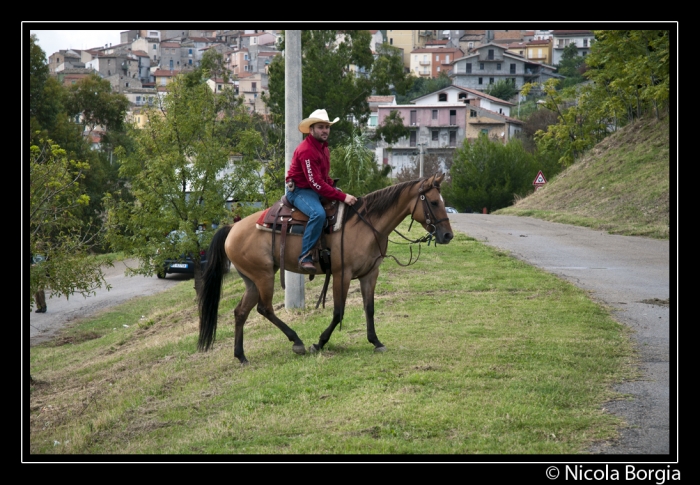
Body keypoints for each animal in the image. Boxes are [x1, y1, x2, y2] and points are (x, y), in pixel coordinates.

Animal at [197, 172, 456, 362]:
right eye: (434, 202)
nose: (447, 235)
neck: (366, 225)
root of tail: (233, 228)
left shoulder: (370, 274)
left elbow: (369, 308)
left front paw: (376, 342)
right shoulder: (342, 274)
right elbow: (338, 311)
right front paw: (319, 342)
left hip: (253, 279)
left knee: (241, 311)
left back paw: (241, 356)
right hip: (263, 277)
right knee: (265, 308)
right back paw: (297, 342)